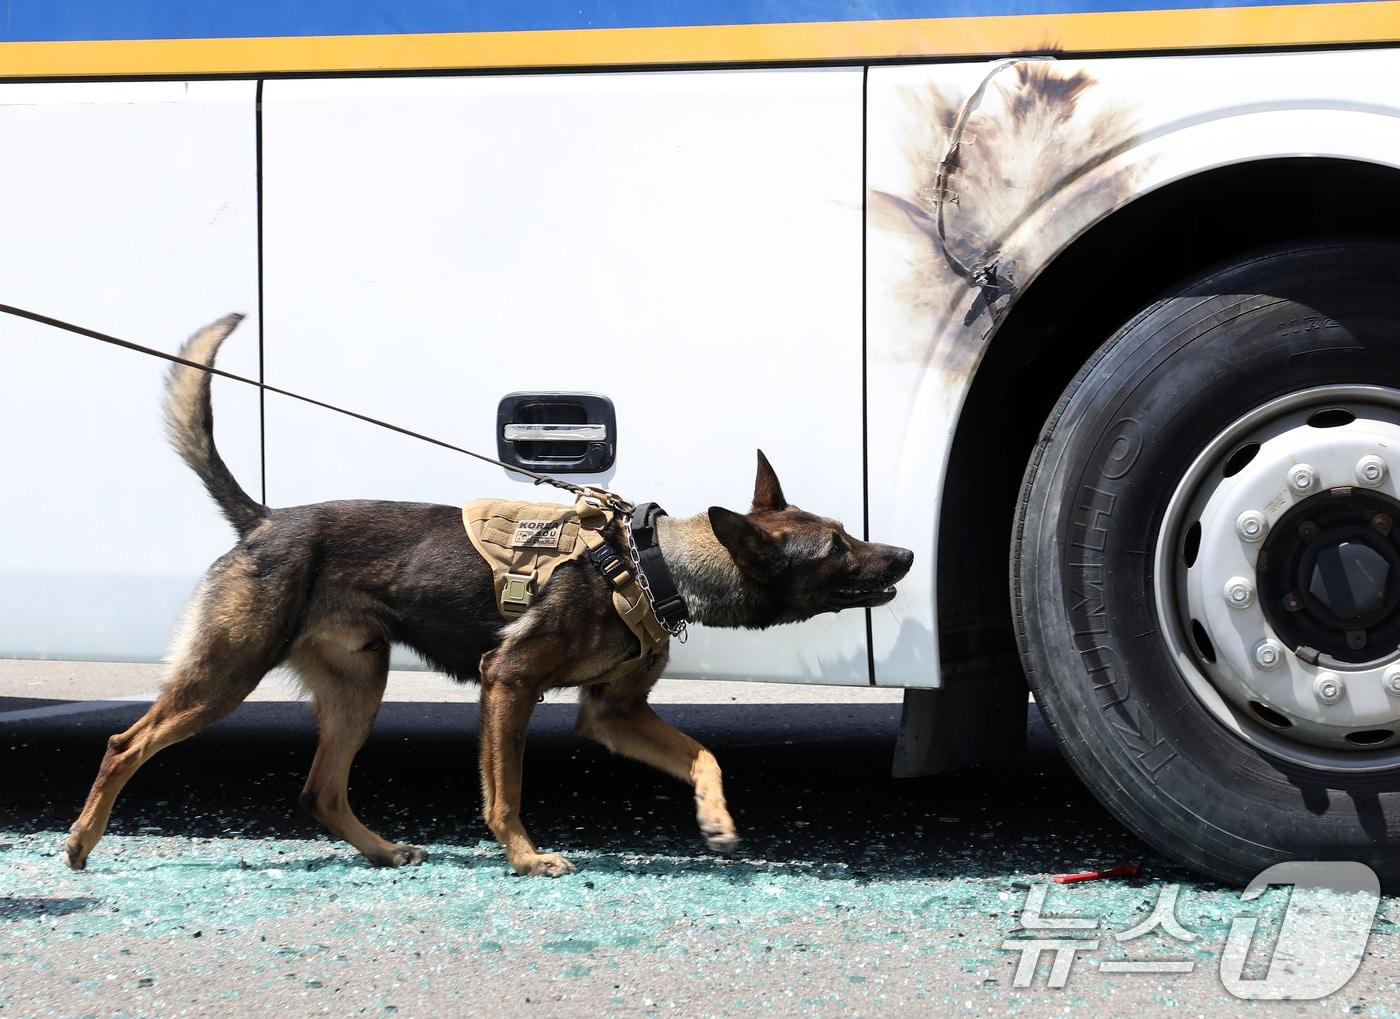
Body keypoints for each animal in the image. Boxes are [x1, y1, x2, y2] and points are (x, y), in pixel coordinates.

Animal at [63, 319, 918, 873]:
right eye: (836, 547)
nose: (908, 553)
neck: (649, 561)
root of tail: (265, 519)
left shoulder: (613, 713)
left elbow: (704, 754)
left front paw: (715, 820)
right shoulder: (509, 684)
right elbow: (503, 793)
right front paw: (527, 856)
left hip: (358, 685)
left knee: (320, 790)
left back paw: (384, 849)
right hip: (227, 673)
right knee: (125, 744)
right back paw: (80, 840)